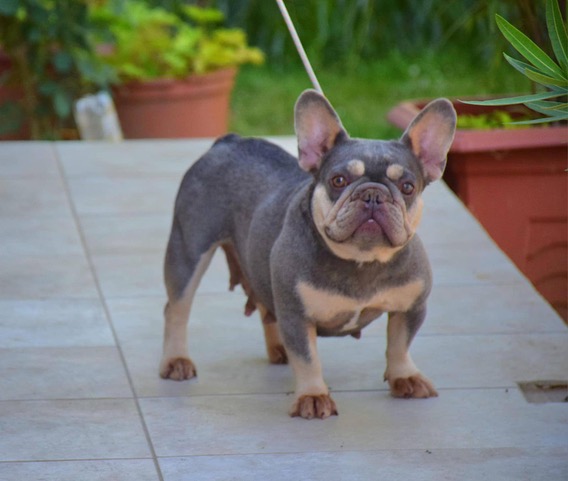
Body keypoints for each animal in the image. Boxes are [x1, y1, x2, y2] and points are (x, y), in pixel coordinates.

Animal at [159, 90, 457, 419]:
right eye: (338, 180)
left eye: (407, 186)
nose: (373, 194)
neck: (362, 260)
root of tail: (229, 141)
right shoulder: (297, 314)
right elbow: (308, 358)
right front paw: (313, 396)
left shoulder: (412, 307)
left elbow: (400, 343)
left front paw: (405, 376)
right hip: (188, 250)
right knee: (177, 308)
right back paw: (176, 360)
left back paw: (277, 349)